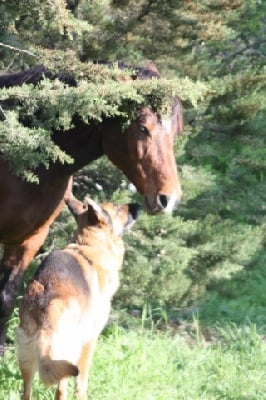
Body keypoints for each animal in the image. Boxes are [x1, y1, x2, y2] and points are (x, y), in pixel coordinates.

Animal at [16, 197, 139, 400]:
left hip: (27, 357)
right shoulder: (90, 339)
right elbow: (82, 382)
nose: (137, 204)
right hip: (68, 352)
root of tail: (44, 304)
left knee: (26, 392)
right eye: (117, 208)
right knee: (62, 389)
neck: (88, 246)